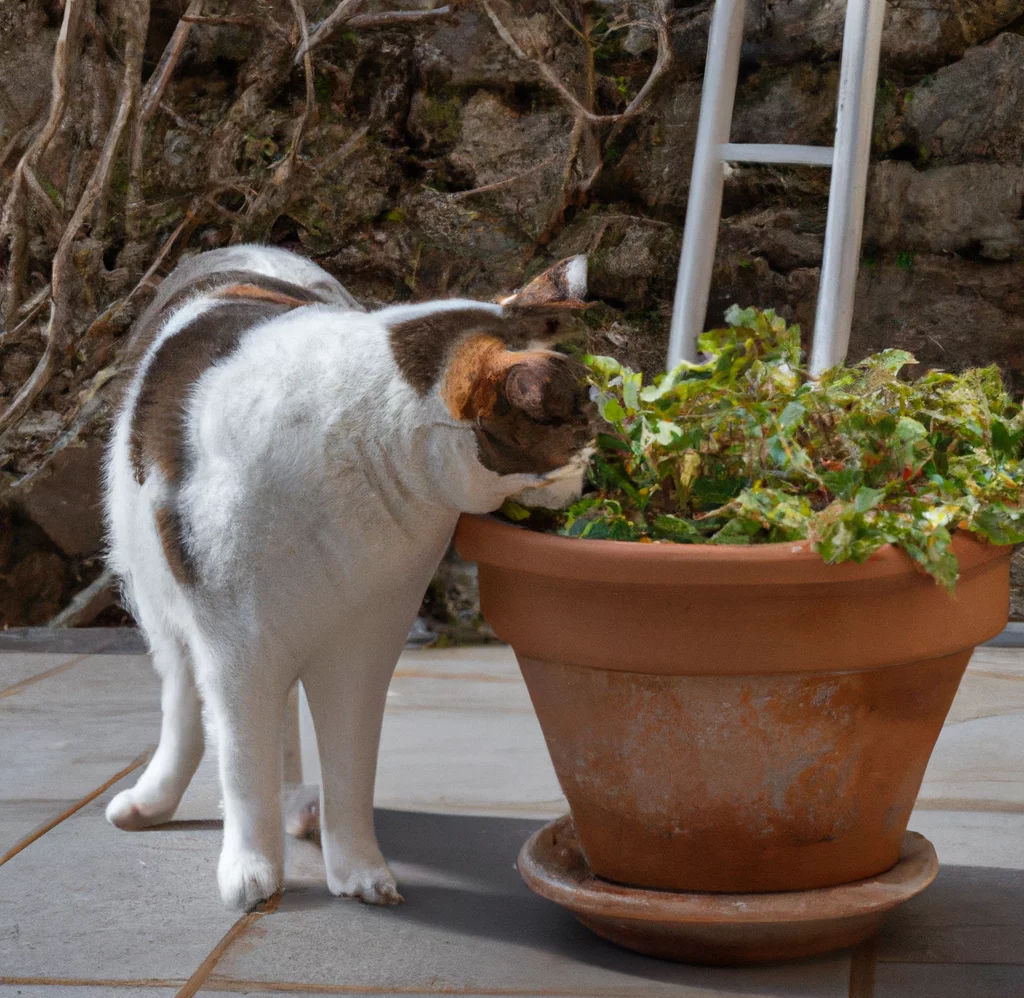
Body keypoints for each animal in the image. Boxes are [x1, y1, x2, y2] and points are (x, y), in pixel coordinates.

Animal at [101, 245, 593, 908]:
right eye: (580, 436)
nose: (592, 476)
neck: (370, 451)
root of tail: (241, 248)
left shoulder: (365, 646)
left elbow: (352, 764)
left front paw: (360, 874)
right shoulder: (235, 646)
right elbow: (241, 757)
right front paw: (251, 871)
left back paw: (297, 808)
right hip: (160, 590)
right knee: (185, 693)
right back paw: (152, 803)